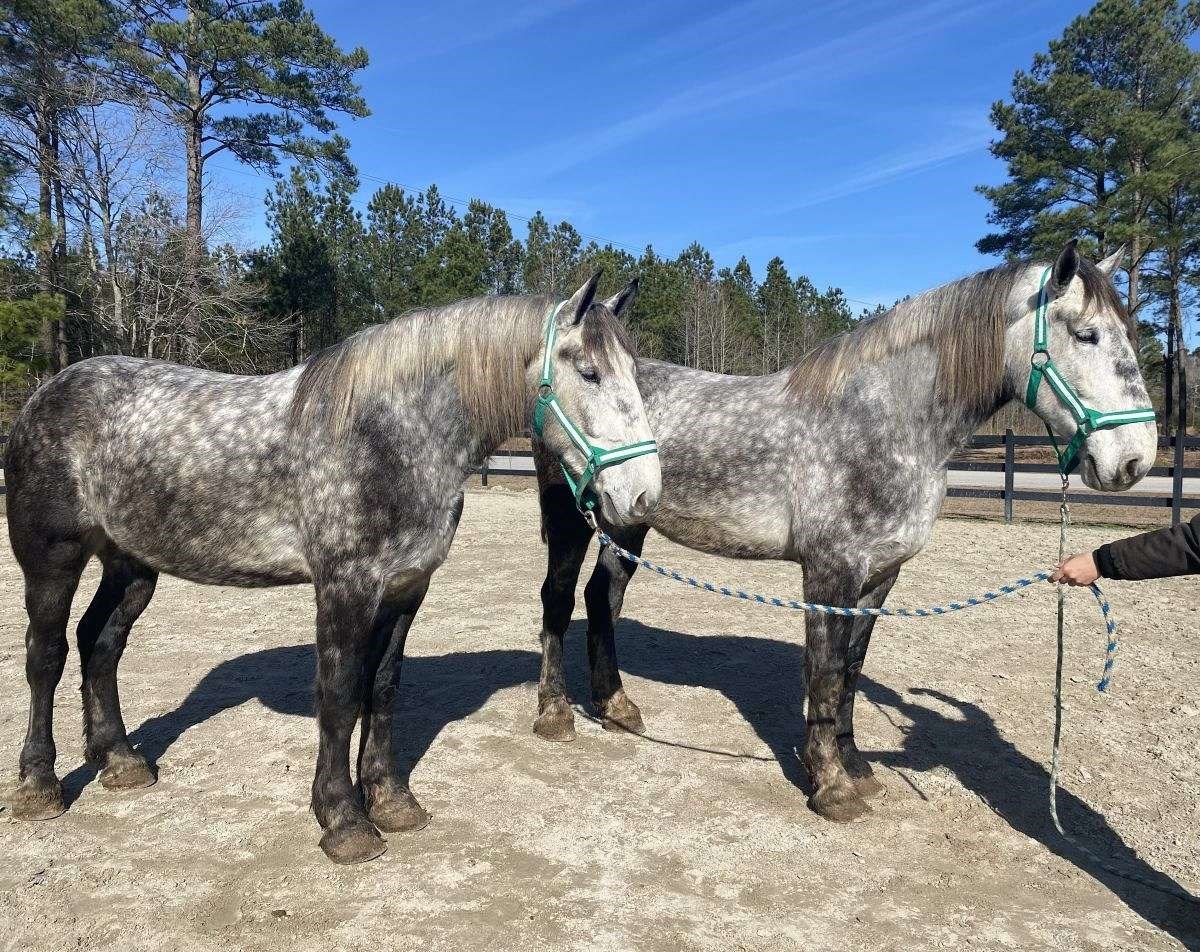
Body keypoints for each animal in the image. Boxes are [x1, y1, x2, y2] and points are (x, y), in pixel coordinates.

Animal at [4, 273, 662, 864]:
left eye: (634, 375)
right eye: (589, 372)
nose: (642, 496)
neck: (388, 435)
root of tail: (46, 394)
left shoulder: (405, 588)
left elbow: (383, 687)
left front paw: (391, 801)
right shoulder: (345, 587)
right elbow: (341, 693)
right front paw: (344, 819)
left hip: (131, 565)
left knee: (100, 643)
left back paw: (118, 761)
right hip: (52, 561)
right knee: (46, 655)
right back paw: (40, 786)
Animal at [532, 242, 1157, 825]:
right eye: (1086, 334)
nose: (1134, 460)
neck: (881, 424)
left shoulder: (879, 576)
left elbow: (852, 667)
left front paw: (854, 765)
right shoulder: (830, 571)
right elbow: (826, 670)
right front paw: (830, 785)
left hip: (628, 520)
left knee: (602, 598)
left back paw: (615, 708)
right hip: (573, 517)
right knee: (560, 597)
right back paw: (555, 714)